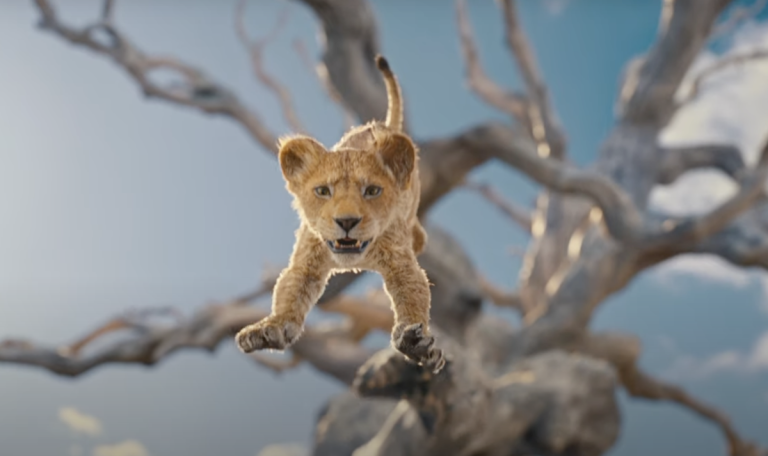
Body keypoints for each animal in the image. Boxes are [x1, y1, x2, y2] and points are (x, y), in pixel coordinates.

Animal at [234, 55, 444, 373]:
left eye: (372, 191)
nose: (346, 222)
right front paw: (270, 328)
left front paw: (415, 341)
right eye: (323, 191)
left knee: (418, 233)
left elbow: (413, 294)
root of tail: (382, 125)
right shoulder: (306, 261)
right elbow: (289, 292)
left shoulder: (400, 260)